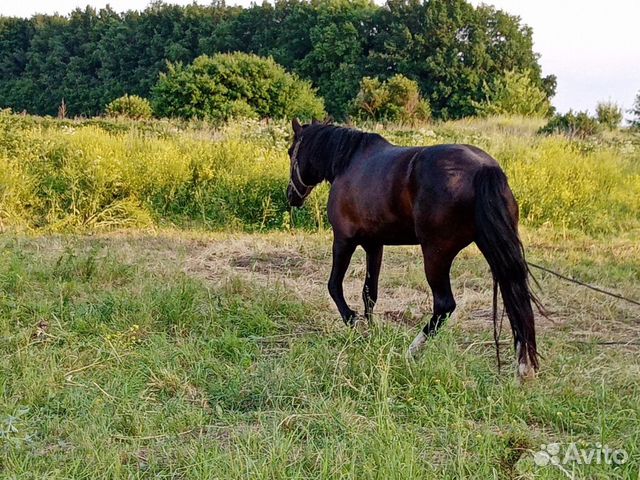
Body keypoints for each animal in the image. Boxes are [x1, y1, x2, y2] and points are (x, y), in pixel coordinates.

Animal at [288, 119, 536, 378]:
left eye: (290, 152)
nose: (291, 196)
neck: (349, 163)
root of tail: (484, 169)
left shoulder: (343, 240)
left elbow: (334, 286)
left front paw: (353, 322)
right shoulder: (374, 245)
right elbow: (369, 293)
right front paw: (372, 333)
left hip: (436, 255)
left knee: (445, 305)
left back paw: (411, 352)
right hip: (493, 248)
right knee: (515, 295)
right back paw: (522, 366)